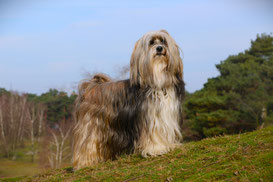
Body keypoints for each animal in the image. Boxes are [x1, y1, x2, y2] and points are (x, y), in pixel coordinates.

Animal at [72, 29, 184, 169]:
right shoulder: (149, 118)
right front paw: (157, 149)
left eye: (163, 41)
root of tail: (91, 86)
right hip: (91, 126)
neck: (158, 81)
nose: (159, 48)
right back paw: (84, 163)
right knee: (87, 144)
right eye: (151, 42)